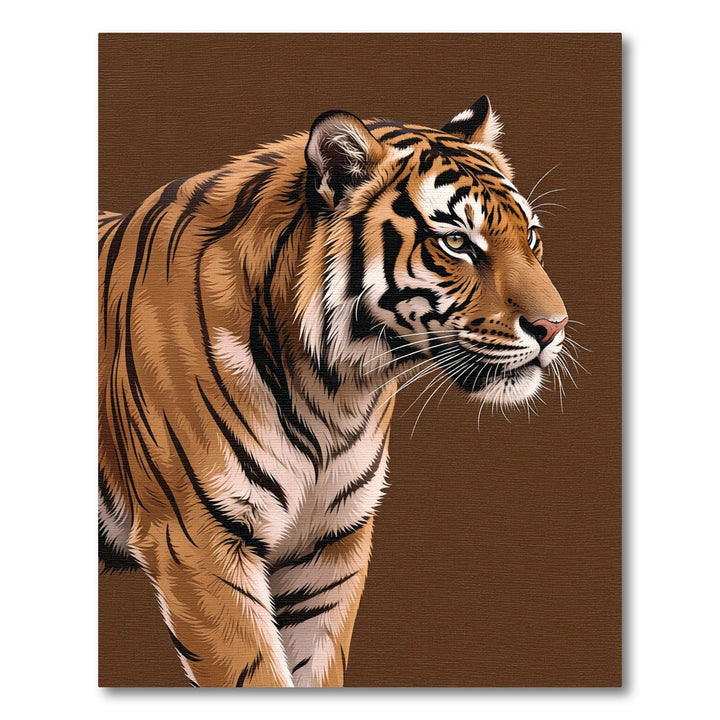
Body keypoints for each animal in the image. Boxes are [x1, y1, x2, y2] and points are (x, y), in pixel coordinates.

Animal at [99, 95, 569, 687]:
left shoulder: (330, 549)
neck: (334, 388)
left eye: (530, 237)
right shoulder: (197, 537)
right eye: (457, 242)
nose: (554, 326)